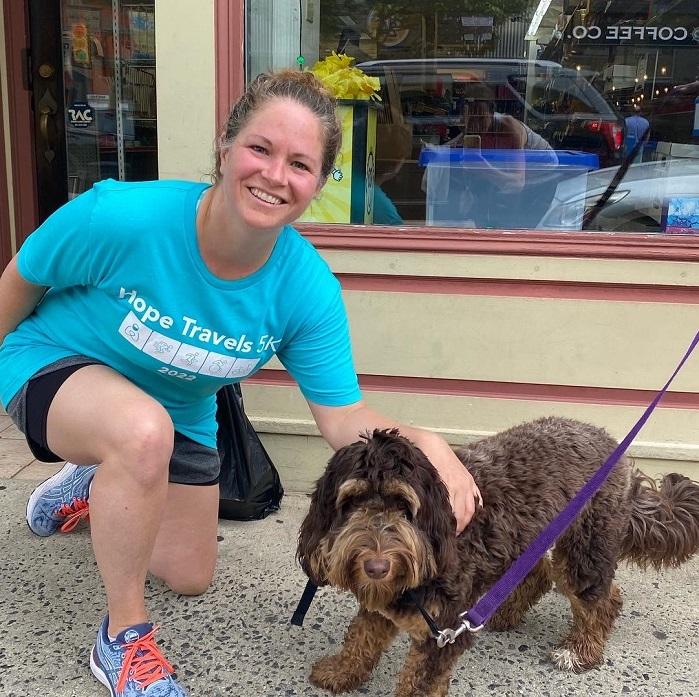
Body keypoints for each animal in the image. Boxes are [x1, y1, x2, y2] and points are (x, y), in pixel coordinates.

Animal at [298, 416, 699, 692]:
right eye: (351, 502)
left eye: (404, 505)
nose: (376, 566)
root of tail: (616, 450)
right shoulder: (384, 603)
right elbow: (360, 637)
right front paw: (341, 671)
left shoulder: (443, 634)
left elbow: (417, 682)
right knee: (544, 576)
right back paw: (504, 613)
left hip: (582, 548)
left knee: (598, 597)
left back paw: (580, 650)